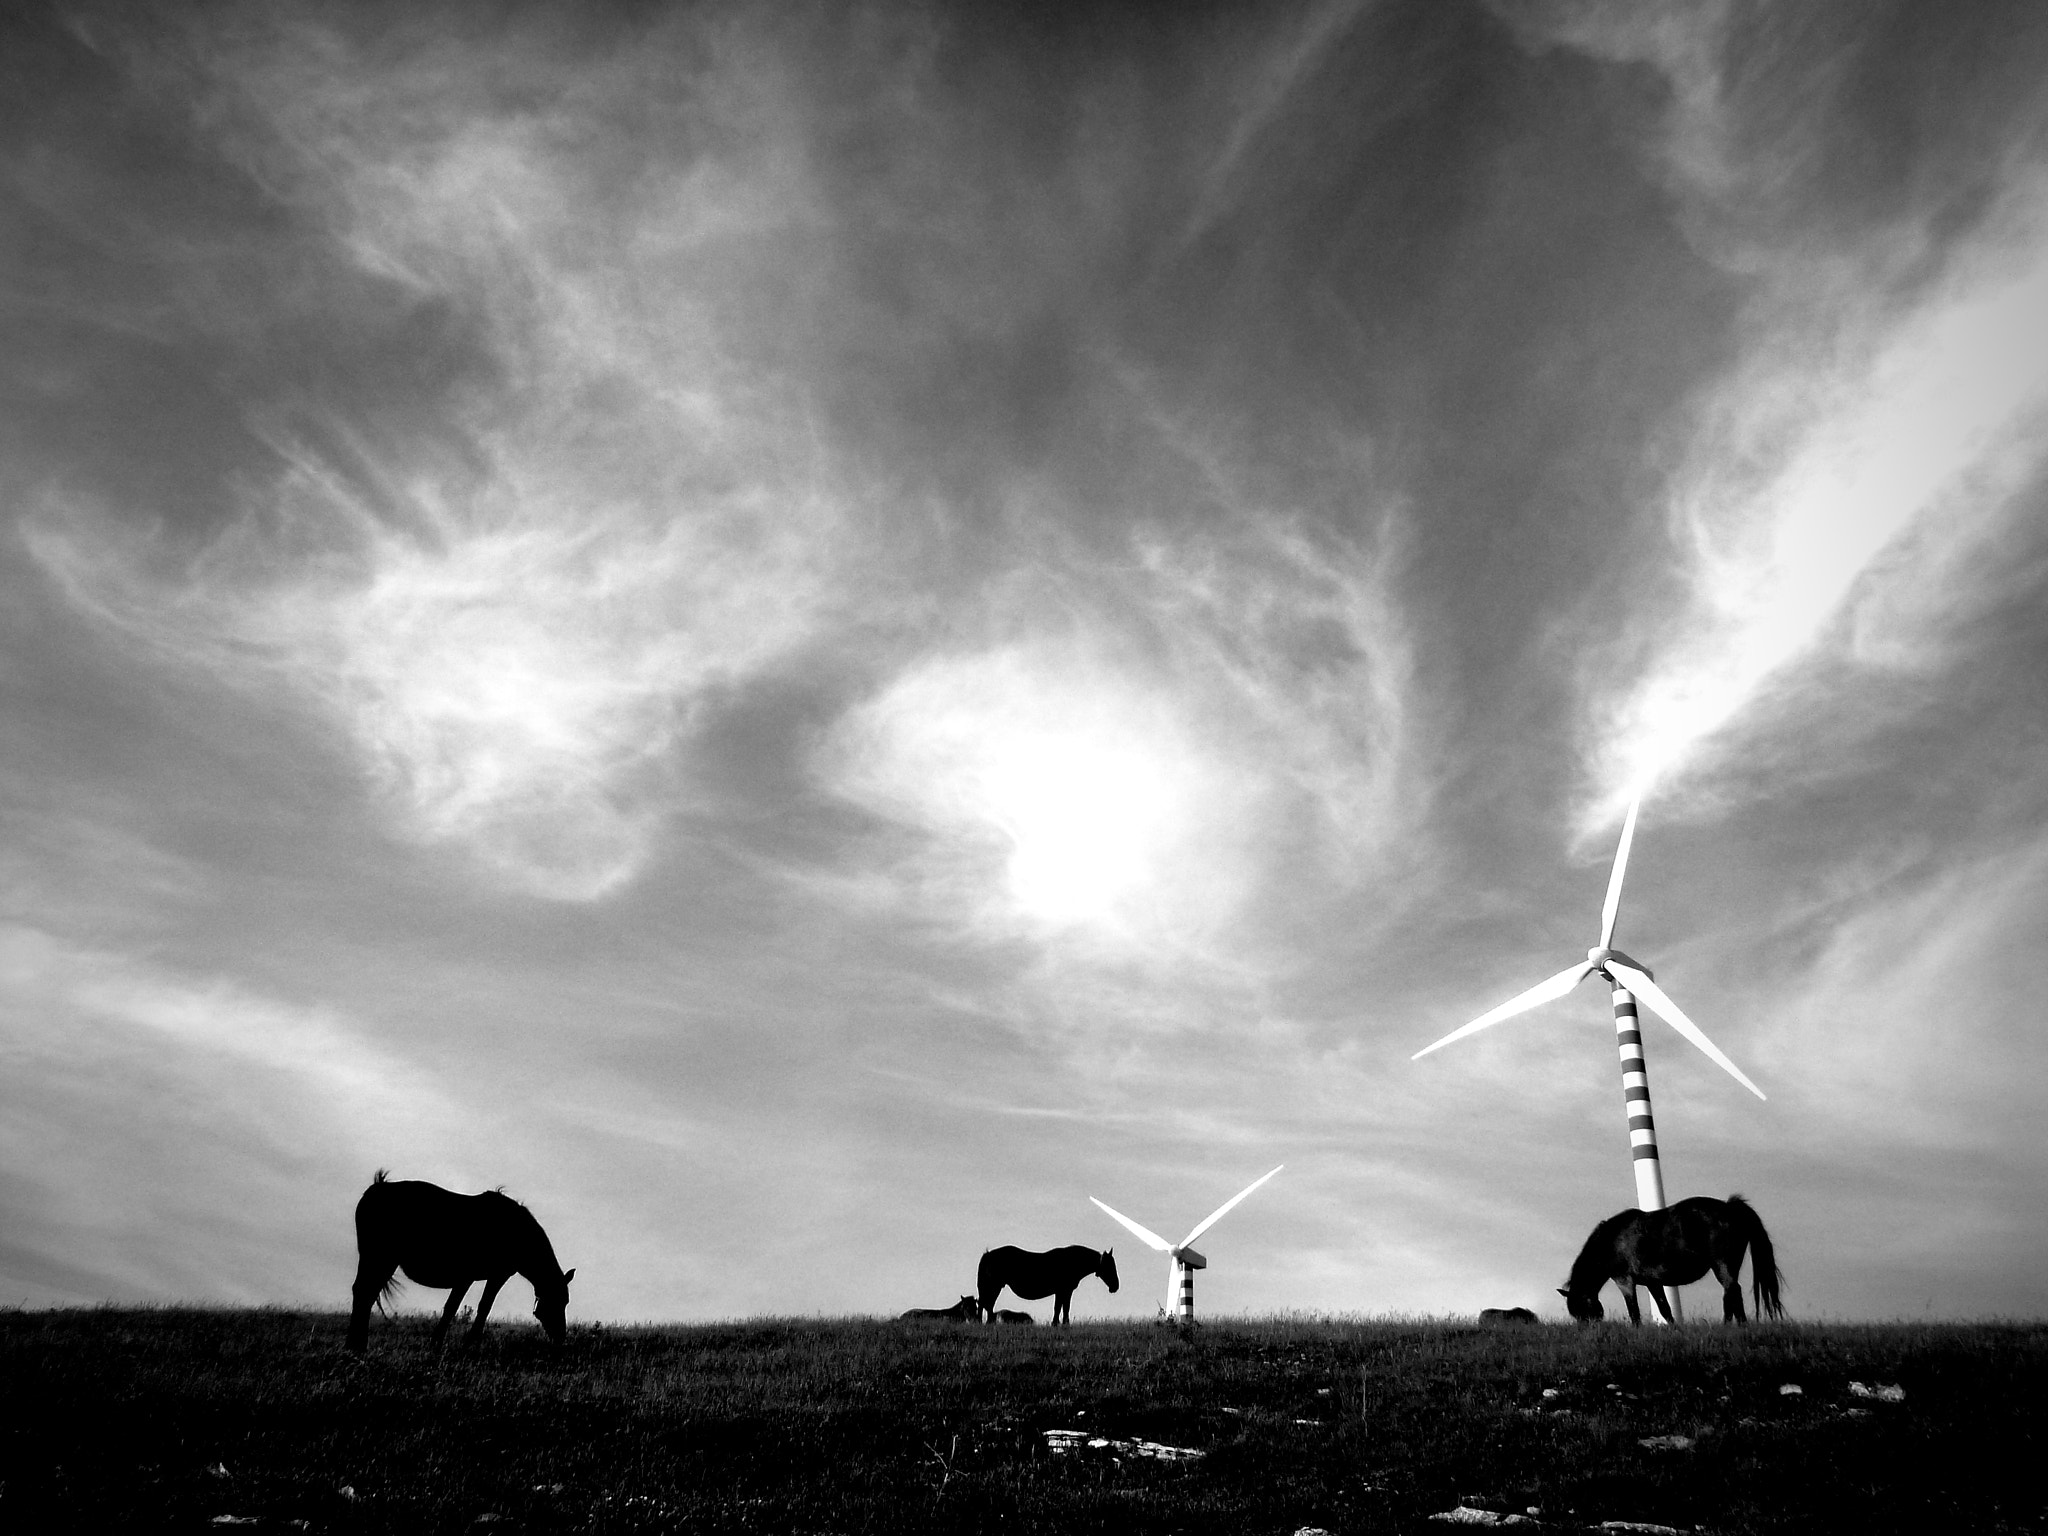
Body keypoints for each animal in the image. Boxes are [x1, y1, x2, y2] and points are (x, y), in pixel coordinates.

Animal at [348, 1171, 577, 1351]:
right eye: (559, 1301)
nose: (561, 1337)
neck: (516, 1233)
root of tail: (377, 1188)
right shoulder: (487, 1276)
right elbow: (472, 1307)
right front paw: (459, 1343)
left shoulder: (475, 1277)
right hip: (381, 1258)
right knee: (364, 1293)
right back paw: (357, 1345)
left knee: (363, 1293)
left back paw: (356, 1344)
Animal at [974, 1245, 1122, 1327]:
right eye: (1109, 1266)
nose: (1115, 1286)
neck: (1072, 1261)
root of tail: (988, 1254)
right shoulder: (1064, 1290)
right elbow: (1061, 1308)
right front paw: (1060, 1323)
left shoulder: (1063, 1291)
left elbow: (1061, 1308)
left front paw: (1060, 1323)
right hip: (994, 1286)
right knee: (985, 1304)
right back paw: (983, 1322)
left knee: (987, 1304)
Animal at [1556, 1196, 1785, 1327]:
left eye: (1583, 1311)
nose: (1591, 1330)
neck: (1610, 1241)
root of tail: (1730, 1208)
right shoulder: (1653, 1282)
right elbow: (1665, 1309)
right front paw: (1675, 1330)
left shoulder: (1625, 1281)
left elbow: (1634, 1311)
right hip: (1730, 1266)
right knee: (1732, 1294)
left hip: (1722, 1265)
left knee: (1732, 1292)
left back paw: (1730, 1326)